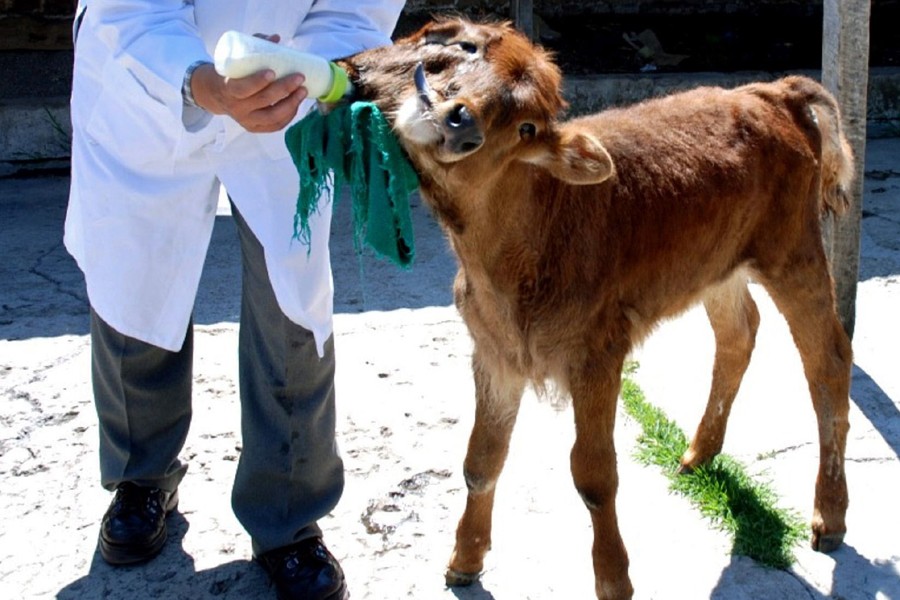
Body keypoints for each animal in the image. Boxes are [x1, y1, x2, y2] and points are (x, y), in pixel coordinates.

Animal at [338, 16, 852, 596]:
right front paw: (464, 560)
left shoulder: (597, 352)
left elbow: (594, 476)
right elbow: (481, 458)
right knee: (739, 332)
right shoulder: (495, 353)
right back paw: (697, 454)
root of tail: (770, 92)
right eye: (463, 47)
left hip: (794, 250)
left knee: (828, 361)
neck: (539, 227)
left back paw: (830, 516)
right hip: (718, 266)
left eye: (526, 129)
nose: (460, 121)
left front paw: (613, 578)